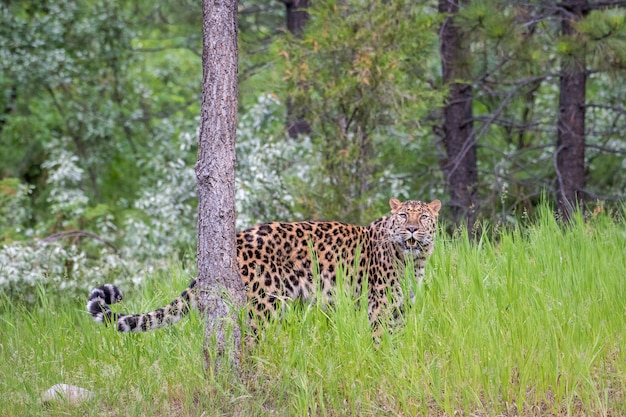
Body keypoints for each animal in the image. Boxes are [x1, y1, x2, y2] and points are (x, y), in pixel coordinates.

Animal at [86, 197, 438, 336]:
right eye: (402, 216)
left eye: (423, 217)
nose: (411, 230)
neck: (414, 261)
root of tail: (237, 237)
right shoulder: (378, 305)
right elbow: (379, 337)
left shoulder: (400, 307)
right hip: (264, 303)